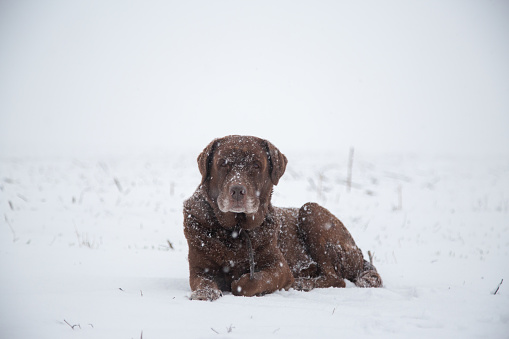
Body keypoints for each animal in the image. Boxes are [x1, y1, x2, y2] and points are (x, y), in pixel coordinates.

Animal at [184, 135, 380, 300]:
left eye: (256, 165)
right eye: (223, 164)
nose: (237, 190)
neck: (236, 229)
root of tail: (360, 253)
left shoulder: (280, 267)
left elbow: (252, 282)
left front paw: (238, 284)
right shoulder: (199, 269)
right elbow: (203, 281)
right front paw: (205, 292)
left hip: (311, 212)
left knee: (335, 278)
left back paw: (303, 283)